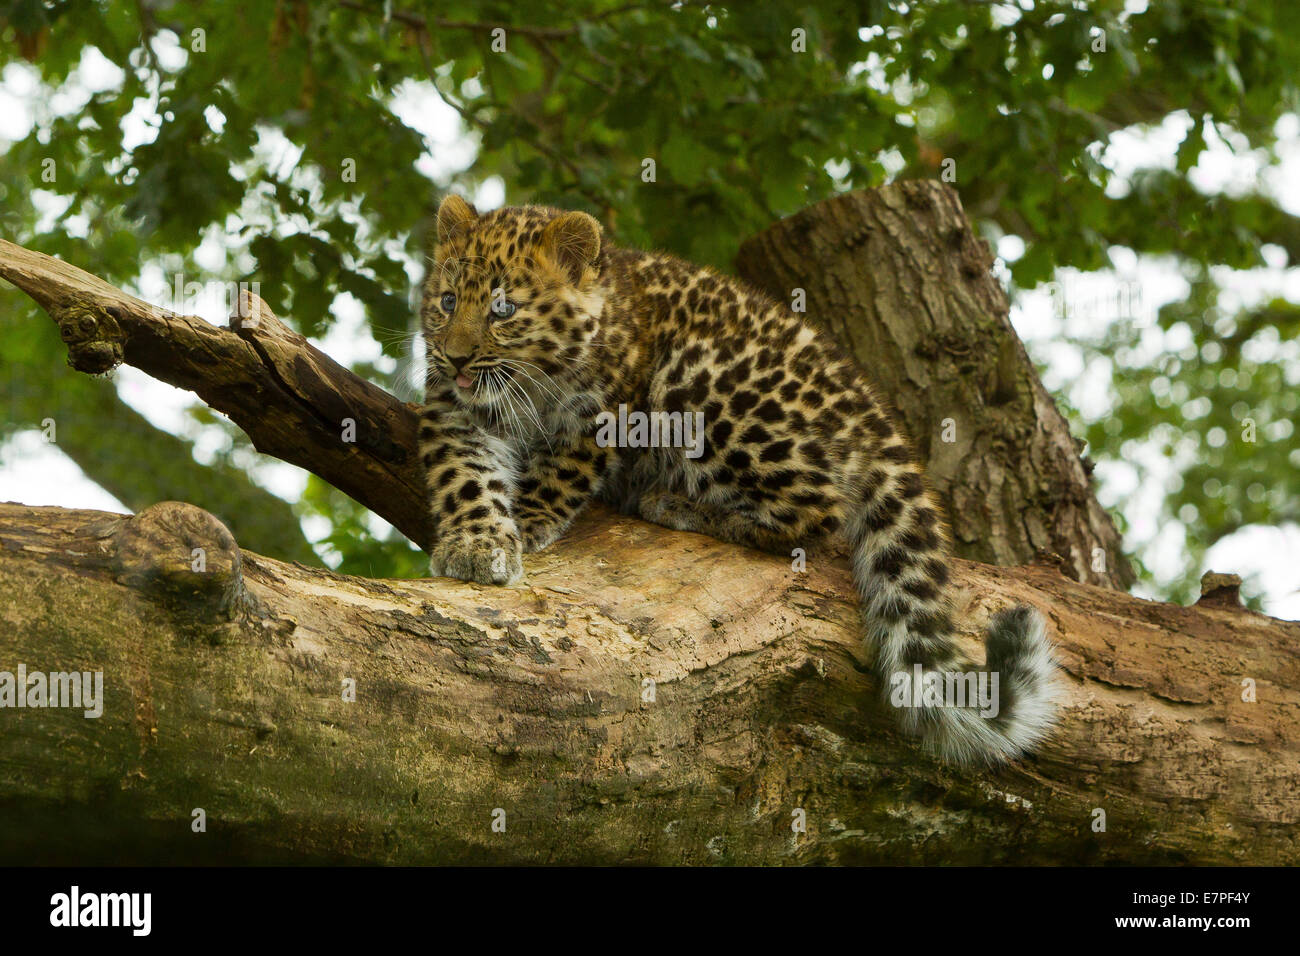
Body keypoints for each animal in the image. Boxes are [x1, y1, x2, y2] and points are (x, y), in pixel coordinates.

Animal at [418, 193, 1058, 765]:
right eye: (446, 301)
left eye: (503, 309)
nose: (455, 357)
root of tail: (872, 414)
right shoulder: (455, 412)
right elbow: (466, 477)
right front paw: (476, 545)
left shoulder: (602, 413)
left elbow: (561, 474)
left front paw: (526, 521)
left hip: (695, 384)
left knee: (817, 514)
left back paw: (673, 503)